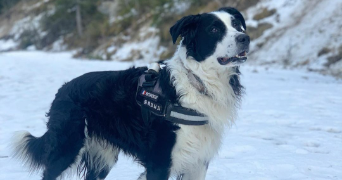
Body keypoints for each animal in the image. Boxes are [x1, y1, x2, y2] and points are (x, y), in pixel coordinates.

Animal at [13, 6, 250, 180]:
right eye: (214, 30)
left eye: (236, 25)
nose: (245, 38)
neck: (198, 81)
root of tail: (63, 89)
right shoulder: (160, 161)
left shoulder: (198, 161)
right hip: (67, 147)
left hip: (103, 156)